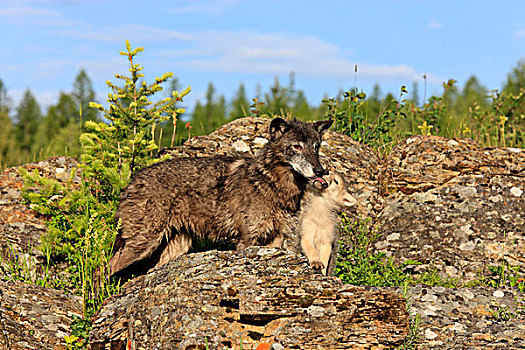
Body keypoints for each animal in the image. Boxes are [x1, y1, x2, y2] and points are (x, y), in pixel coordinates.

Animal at [108, 117, 334, 278]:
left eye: (316, 147)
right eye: (296, 146)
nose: (320, 171)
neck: (272, 184)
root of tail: (131, 182)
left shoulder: (275, 240)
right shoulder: (247, 240)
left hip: (176, 248)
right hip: (141, 244)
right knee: (105, 269)